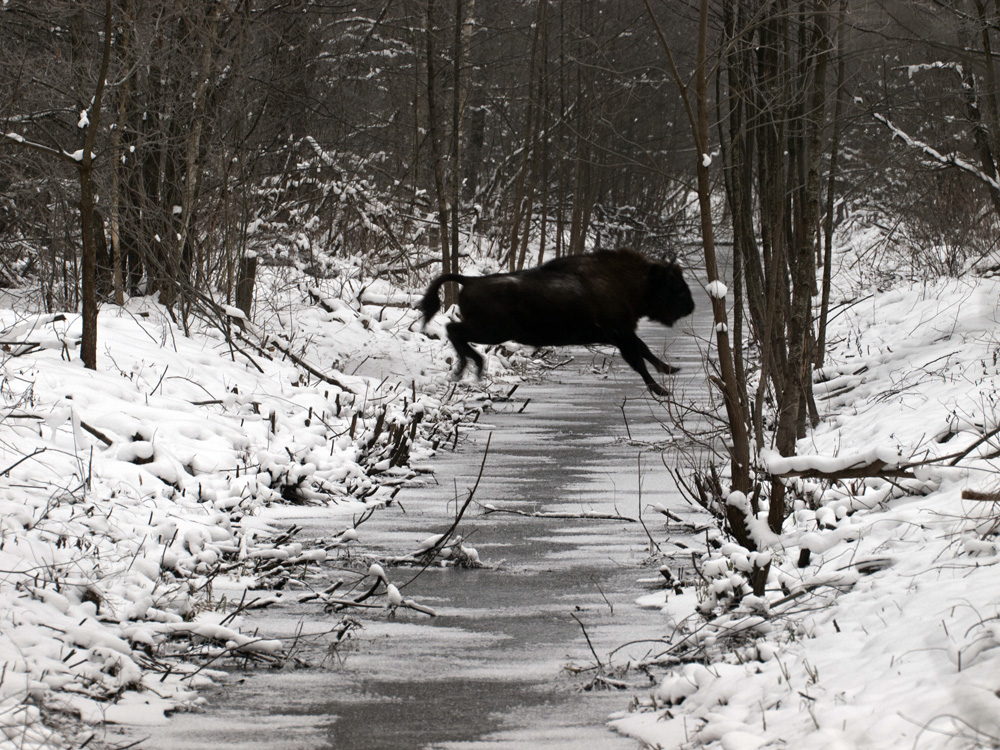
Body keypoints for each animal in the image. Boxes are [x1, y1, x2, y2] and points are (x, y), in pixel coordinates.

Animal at [418, 250, 692, 396]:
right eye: (674, 286)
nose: (690, 306)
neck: (624, 282)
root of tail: (470, 281)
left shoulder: (624, 334)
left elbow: (644, 350)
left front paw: (671, 369)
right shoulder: (620, 335)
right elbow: (638, 359)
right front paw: (661, 390)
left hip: (489, 331)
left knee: (455, 333)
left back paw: (468, 368)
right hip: (491, 331)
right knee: (454, 331)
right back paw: (471, 366)